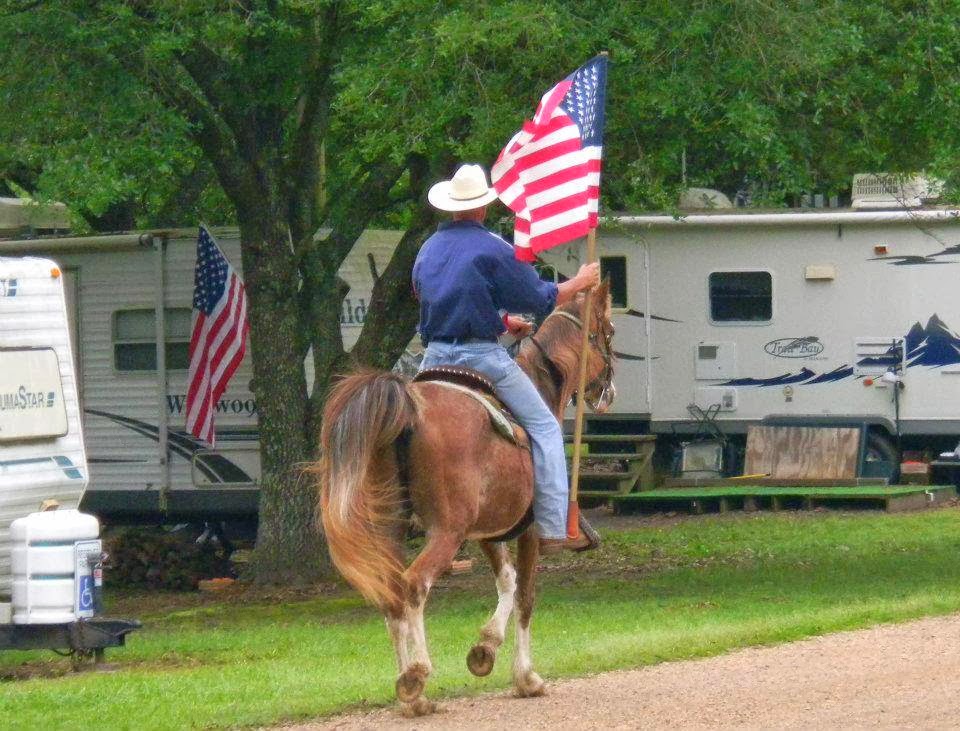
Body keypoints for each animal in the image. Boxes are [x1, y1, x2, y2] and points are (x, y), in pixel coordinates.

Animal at [316, 284, 616, 716]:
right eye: (609, 331)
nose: (608, 392)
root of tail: (408, 405)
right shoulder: (528, 529)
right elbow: (525, 595)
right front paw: (526, 677)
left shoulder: (489, 531)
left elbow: (506, 582)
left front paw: (484, 650)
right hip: (446, 531)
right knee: (414, 584)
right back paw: (417, 674)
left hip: (389, 527)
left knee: (392, 595)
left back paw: (413, 698)